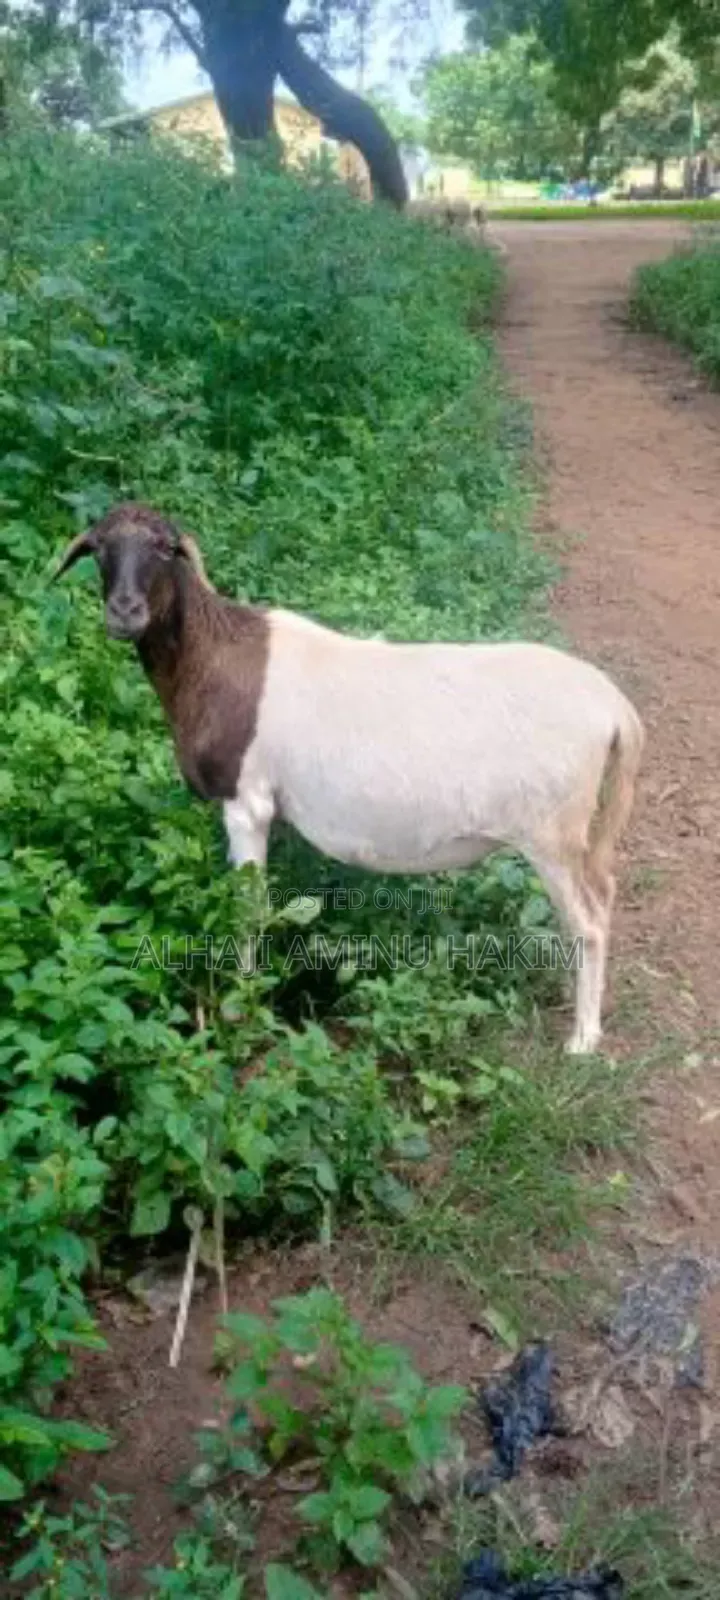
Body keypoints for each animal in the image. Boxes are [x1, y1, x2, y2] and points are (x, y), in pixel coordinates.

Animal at [54, 503, 644, 1055]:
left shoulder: (246, 801)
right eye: (98, 548)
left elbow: (250, 911)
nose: (125, 610)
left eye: (163, 547)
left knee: (588, 920)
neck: (212, 657)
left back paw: (583, 1039)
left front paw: (242, 1006)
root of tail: (614, 711)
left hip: (552, 831)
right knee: (601, 895)